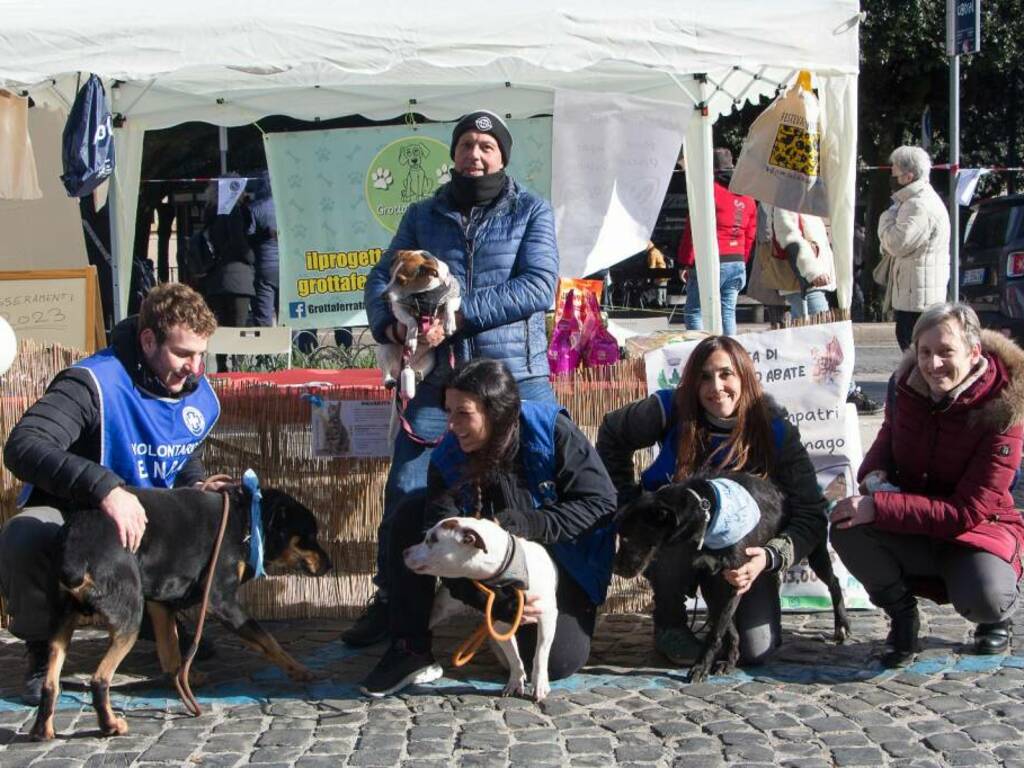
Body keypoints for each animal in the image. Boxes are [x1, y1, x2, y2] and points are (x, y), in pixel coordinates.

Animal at [29, 483, 331, 741]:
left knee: (51, 683)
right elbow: (268, 640)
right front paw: (299, 670)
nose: (329, 565)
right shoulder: (222, 600)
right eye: (309, 536)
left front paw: (185, 681)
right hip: (130, 616)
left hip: (62, 622)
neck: (245, 520)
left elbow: (171, 649)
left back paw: (43, 730)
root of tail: (76, 549)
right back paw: (111, 725)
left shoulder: (161, 603)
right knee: (99, 679)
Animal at [378, 249, 462, 399]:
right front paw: (411, 339)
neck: (425, 294)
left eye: (401, 280)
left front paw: (449, 322)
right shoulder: (398, 308)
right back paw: (389, 380)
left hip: (431, 359)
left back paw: (417, 375)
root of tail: (401, 369)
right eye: (390, 276)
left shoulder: (455, 296)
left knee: (418, 374)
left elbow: (449, 304)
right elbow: (411, 321)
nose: (382, 296)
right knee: (385, 372)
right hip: (385, 348)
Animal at [401, 518, 561, 704]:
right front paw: (515, 681)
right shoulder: (500, 622)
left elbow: (540, 655)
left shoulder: (547, 617)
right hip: (439, 609)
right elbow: (513, 656)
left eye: (432, 539)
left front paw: (539, 685)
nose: (404, 552)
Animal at [614, 475, 847, 684]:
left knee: (835, 582)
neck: (707, 515)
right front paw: (730, 659)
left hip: (814, 550)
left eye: (627, 537)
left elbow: (717, 630)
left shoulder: (737, 579)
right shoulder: (710, 580)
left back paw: (842, 626)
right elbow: (726, 626)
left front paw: (701, 666)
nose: (615, 568)